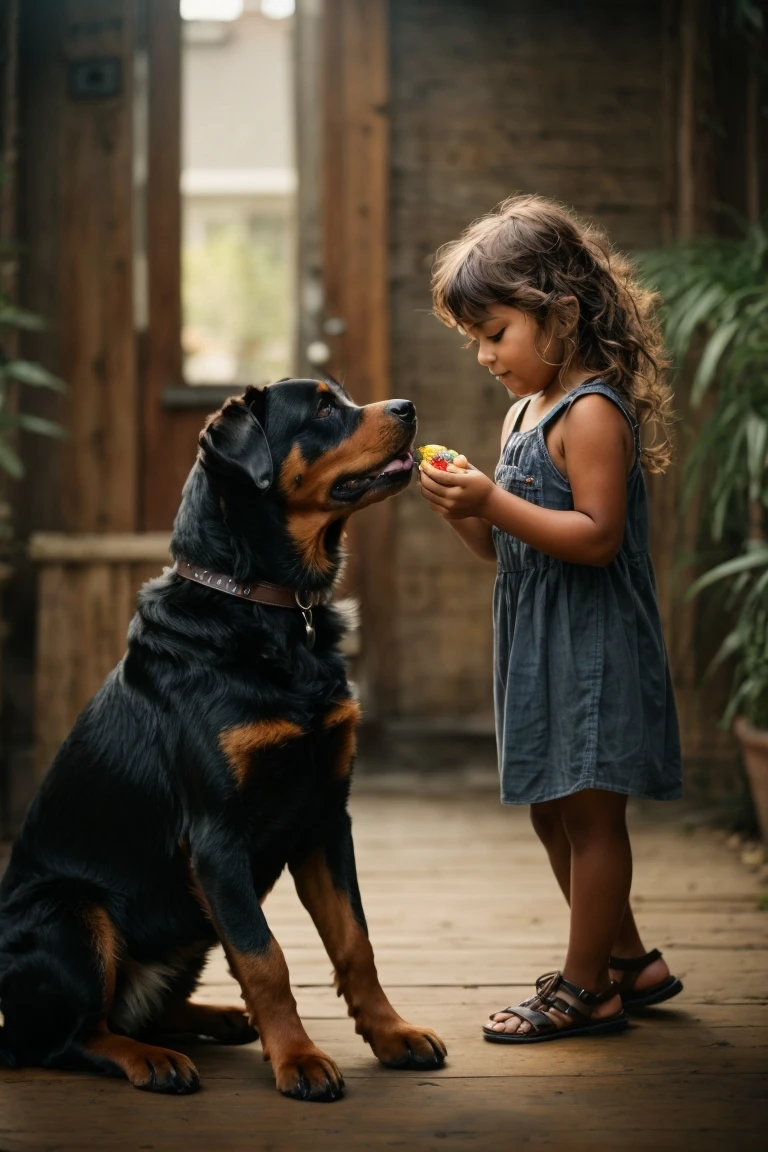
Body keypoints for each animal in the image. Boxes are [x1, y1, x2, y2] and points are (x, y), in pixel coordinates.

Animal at [0, 377, 446, 1096]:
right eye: (323, 408)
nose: (407, 408)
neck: (271, 608)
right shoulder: (216, 838)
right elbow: (266, 956)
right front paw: (298, 1058)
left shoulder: (325, 816)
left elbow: (355, 942)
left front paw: (392, 1034)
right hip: (71, 909)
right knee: (70, 1037)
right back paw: (149, 1060)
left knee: (143, 1007)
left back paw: (218, 1018)